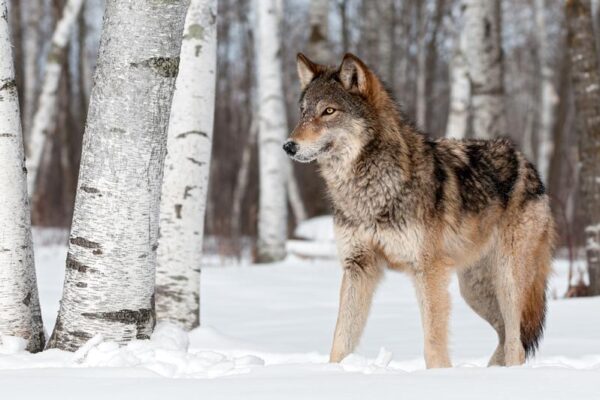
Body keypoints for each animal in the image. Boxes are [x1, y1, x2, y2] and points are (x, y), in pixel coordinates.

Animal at [284, 53, 556, 368]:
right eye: (303, 112)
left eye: (329, 111)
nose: (288, 146)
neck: (371, 190)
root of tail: (528, 163)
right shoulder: (358, 266)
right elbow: (341, 340)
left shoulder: (428, 271)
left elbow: (434, 344)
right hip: (473, 290)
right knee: (505, 336)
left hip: (507, 281)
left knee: (516, 343)